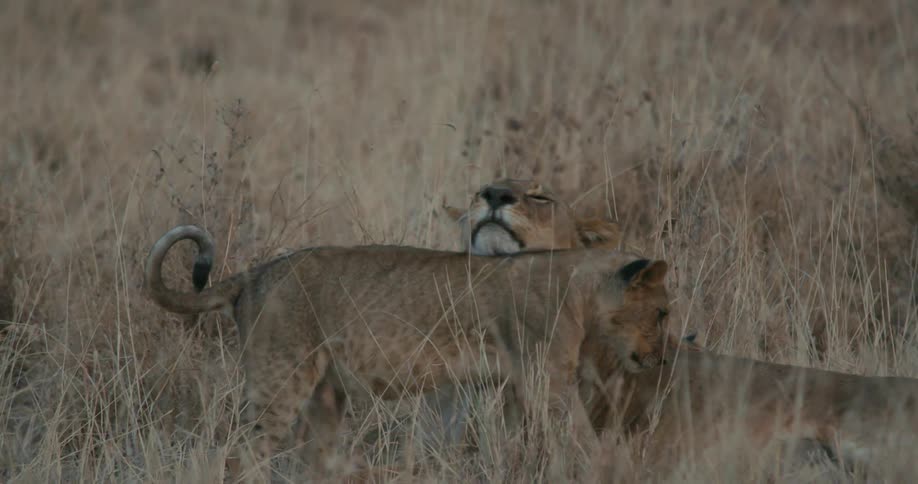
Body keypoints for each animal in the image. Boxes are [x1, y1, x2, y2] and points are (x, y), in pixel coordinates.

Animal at [144, 224, 674, 477]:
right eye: (664, 313)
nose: (663, 359)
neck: (581, 287)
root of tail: (254, 274)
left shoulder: (517, 386)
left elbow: (515, 441)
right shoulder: (548, 381)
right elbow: (582, 434)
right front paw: (611, 467)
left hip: (325, 395)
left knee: (311, 458)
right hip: (281, 379)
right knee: (243, 454)